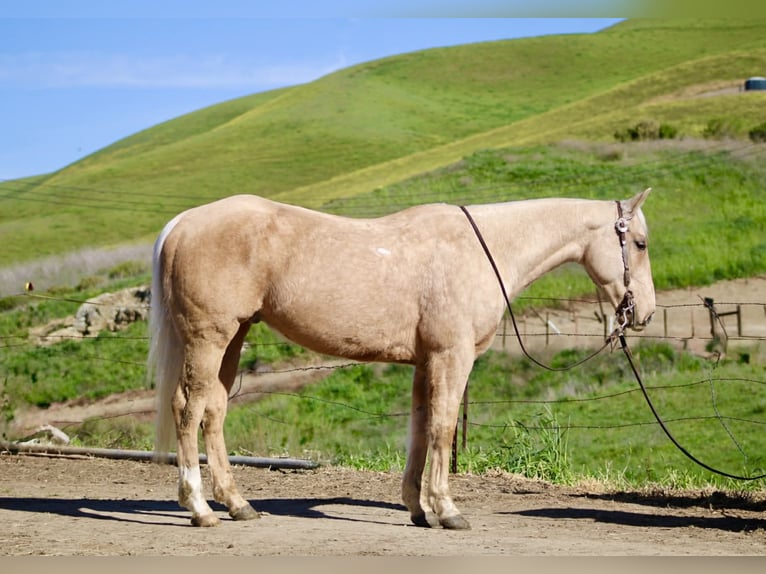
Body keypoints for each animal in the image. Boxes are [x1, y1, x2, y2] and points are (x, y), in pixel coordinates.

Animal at [147, 189, 655, 529]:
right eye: (641, 243)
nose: (644, 312)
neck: (482, 249)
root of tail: (182, 223)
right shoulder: (452, 358)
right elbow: (443, 428)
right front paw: (447, 510)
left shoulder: (425, 362)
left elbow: (419, 430)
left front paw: (418, 508)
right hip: (209, 338)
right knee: (187, 408)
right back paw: (199, 508)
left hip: (233, 338)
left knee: (213, 410)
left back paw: (238, 505)